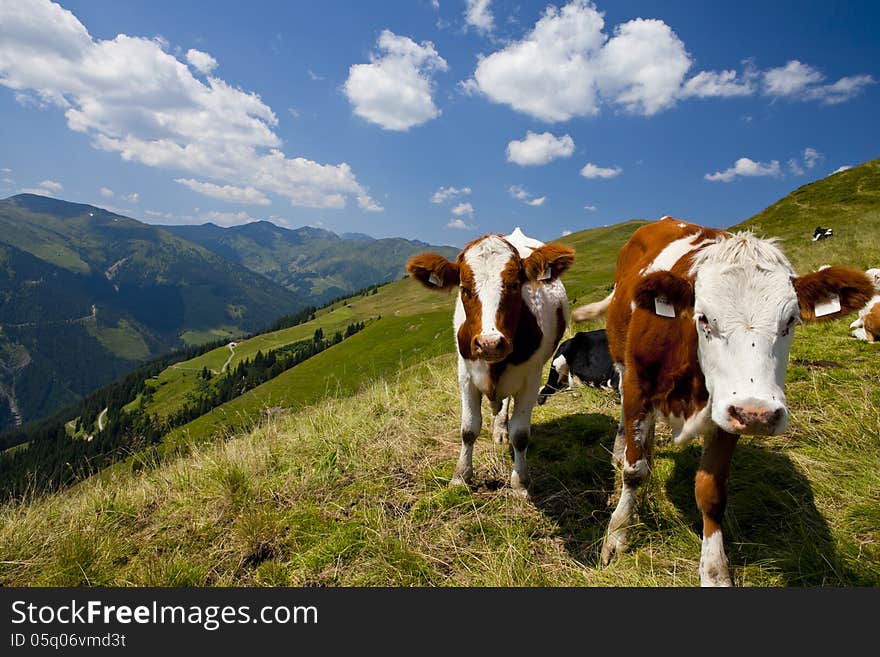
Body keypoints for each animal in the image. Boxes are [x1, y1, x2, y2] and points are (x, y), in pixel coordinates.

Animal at [408, 228, 576, 494]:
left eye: (515, 285)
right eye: (464, 288)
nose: (489, 343)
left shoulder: (531, 378)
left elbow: (520, 434)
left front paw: (520, 482)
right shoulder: (465, 375)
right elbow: (468, 429)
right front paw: (461, 476)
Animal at [572, 218, 872, 588]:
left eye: (790, 321)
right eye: (703, 317)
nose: (760, 415)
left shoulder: (729, 410)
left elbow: (711, 493)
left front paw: (715, 570)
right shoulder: (638, 385)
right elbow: (633, 470)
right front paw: (617, 535)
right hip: (622, 365)